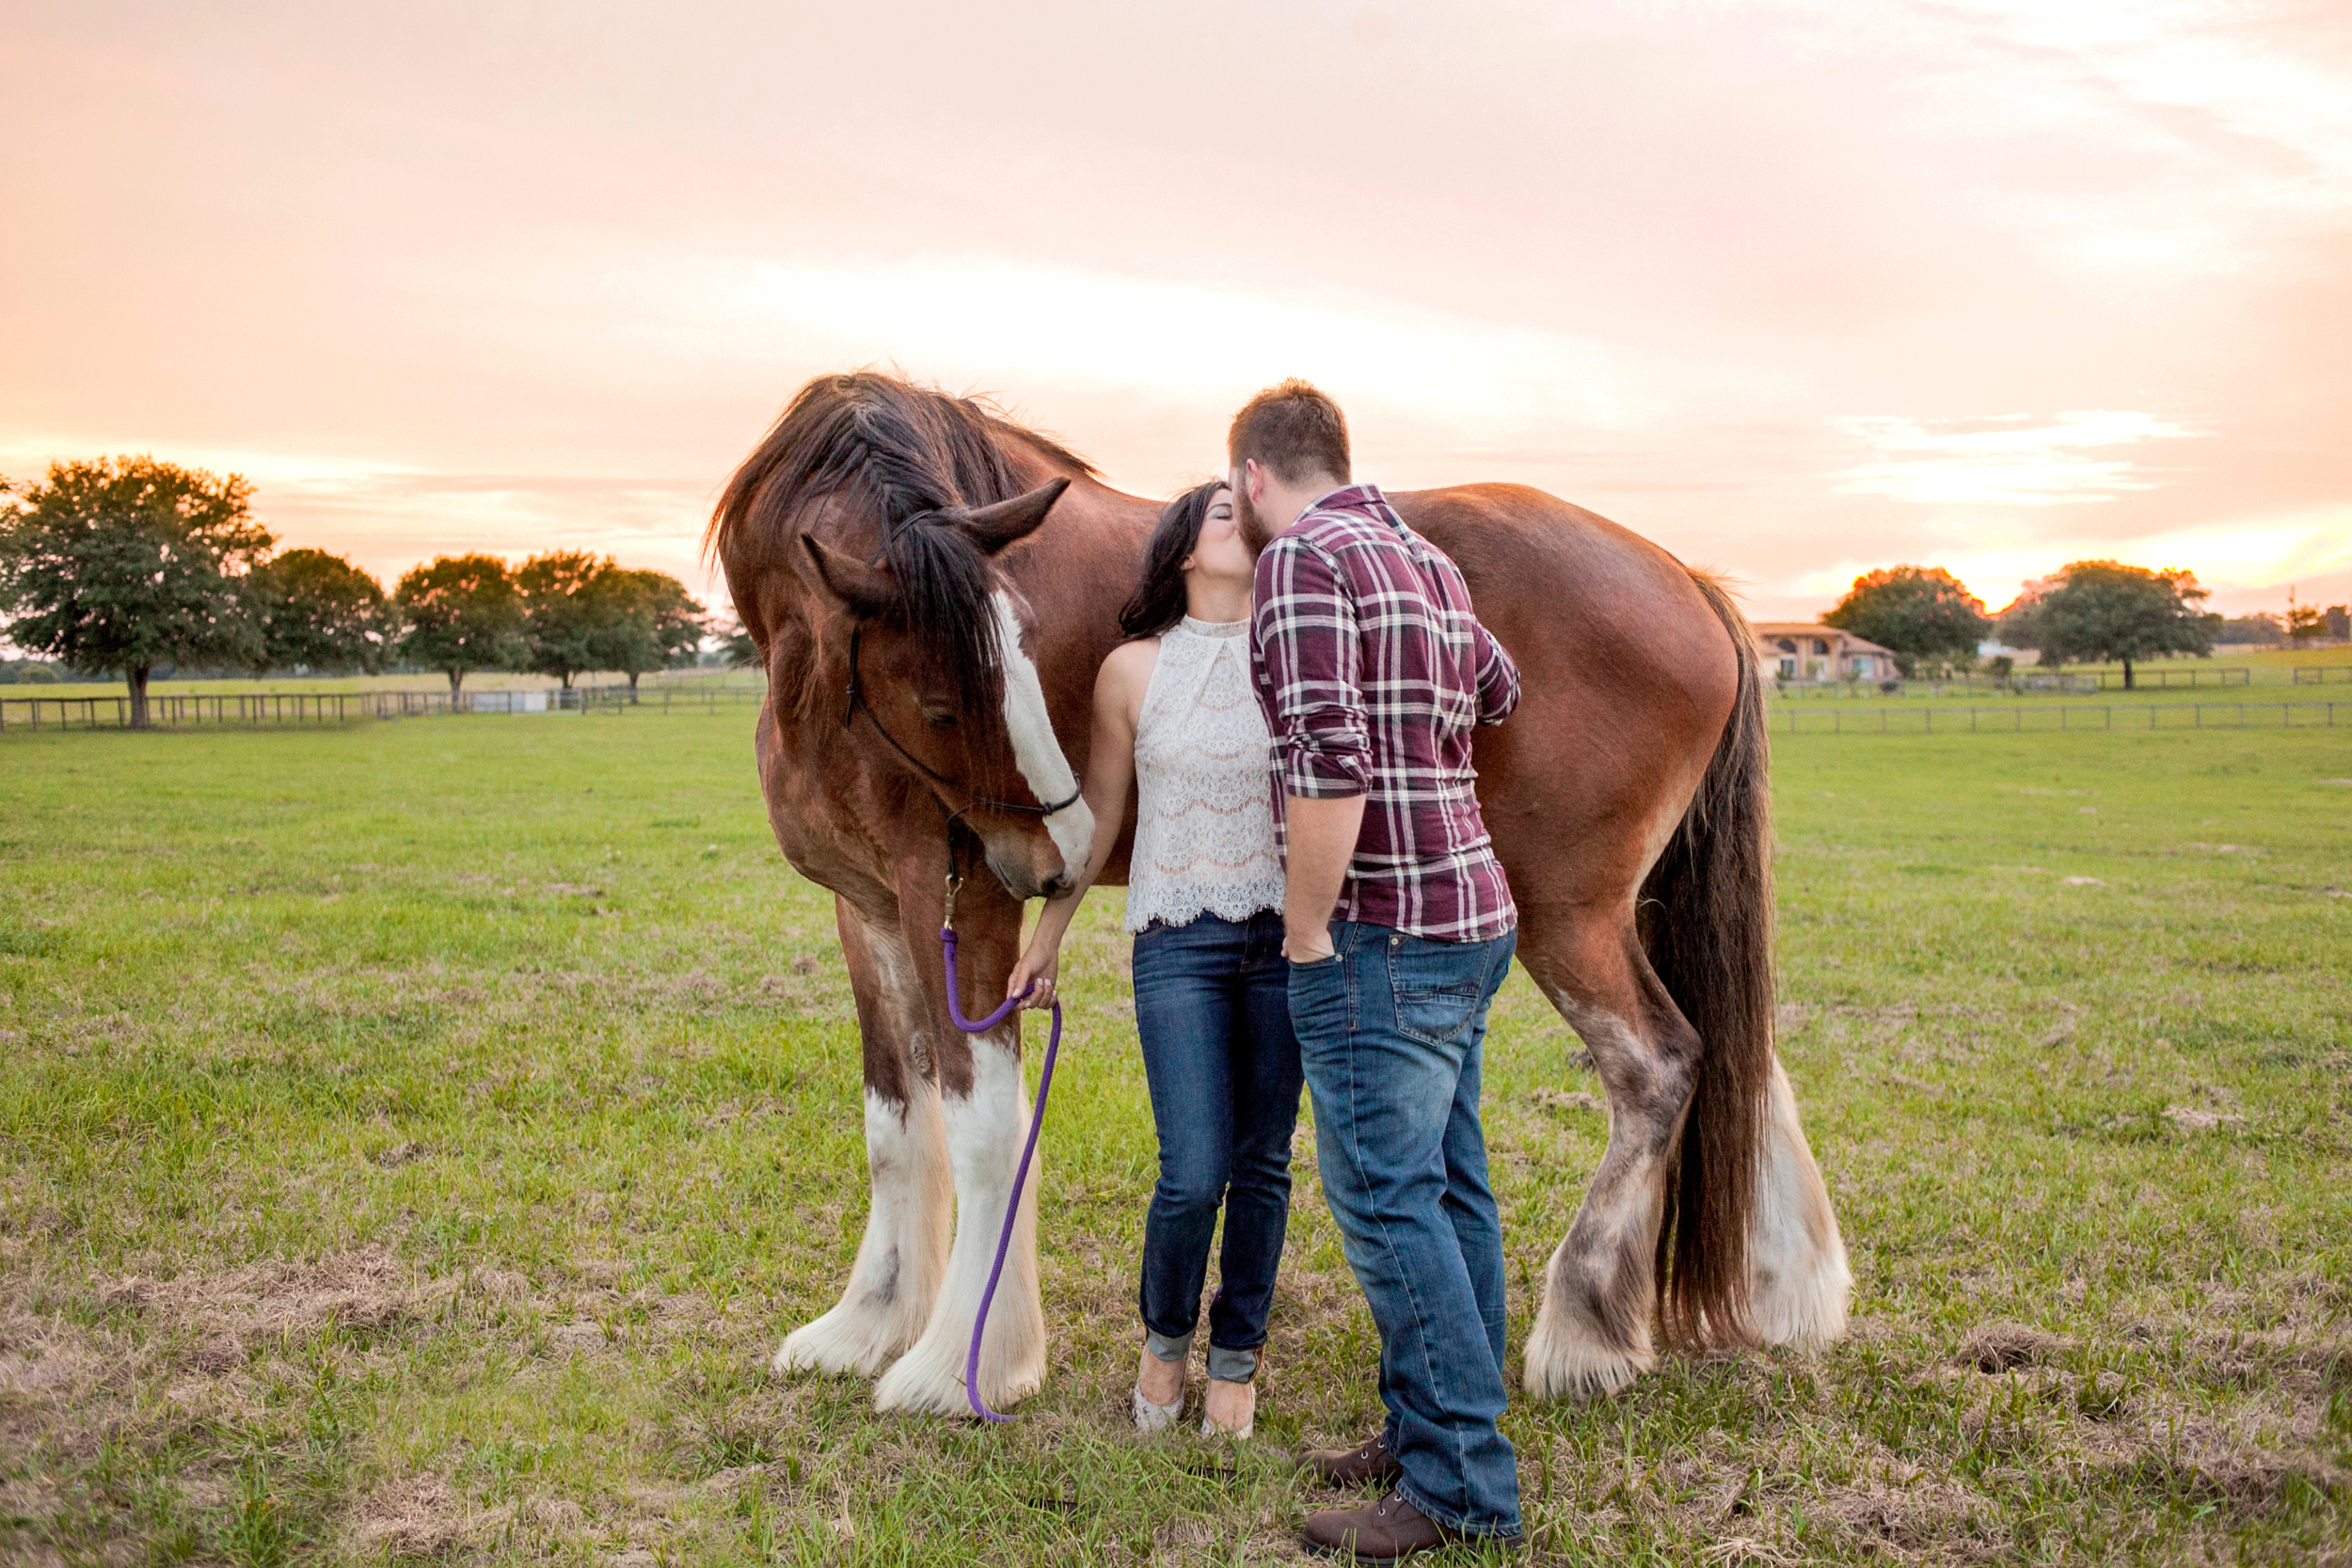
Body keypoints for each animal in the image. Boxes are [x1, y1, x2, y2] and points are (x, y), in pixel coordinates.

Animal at [706, 373, 1844, 1419]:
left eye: (1028, 654)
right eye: (944, 703)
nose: (1064, 854)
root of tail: (1685, 579)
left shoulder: (970, 903)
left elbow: (982, 1124)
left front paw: (960, 1364)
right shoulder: (867, 908)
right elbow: (895, 1121)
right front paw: (866, 1324)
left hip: (1570, 913)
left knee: (1660, 1064)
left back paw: (1584, 1331)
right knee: (1743, 1057)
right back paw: (1791, 1293)